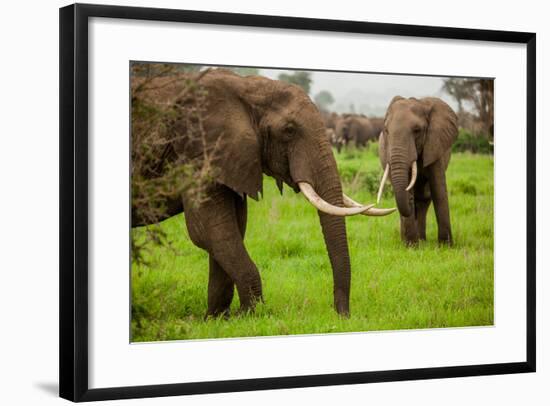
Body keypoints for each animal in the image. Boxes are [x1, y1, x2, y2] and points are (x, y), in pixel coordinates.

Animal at [132, 68, 394, 318]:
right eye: (289, 130)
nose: (342, 315)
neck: (247, 88)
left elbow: (231, 230)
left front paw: (218, 319)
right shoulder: (196, 152)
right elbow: (210, 232)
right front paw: (248, 315)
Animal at [380, 96, 462, 246]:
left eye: (417, 130)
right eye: (386, 131)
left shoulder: (435, 144)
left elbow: (438, 190)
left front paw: (446, 246)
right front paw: (411, 246)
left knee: (424, 199)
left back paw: (422, 241)